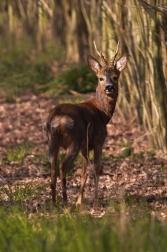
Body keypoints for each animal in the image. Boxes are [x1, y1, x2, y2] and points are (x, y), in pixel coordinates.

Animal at [46, 40, 127, 207]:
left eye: (115, 77)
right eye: (100, 78)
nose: (109, 87)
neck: (102, 113)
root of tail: (57, 120)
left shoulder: (85, 146)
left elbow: (83, 172)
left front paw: (79, 202)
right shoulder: (98, 141)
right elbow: (96, 169)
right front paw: (95, 202)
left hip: (52, 141)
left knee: (52, 168)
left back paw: (54, 203)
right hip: (74, 140)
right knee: (63, 166)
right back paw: (65, 201)